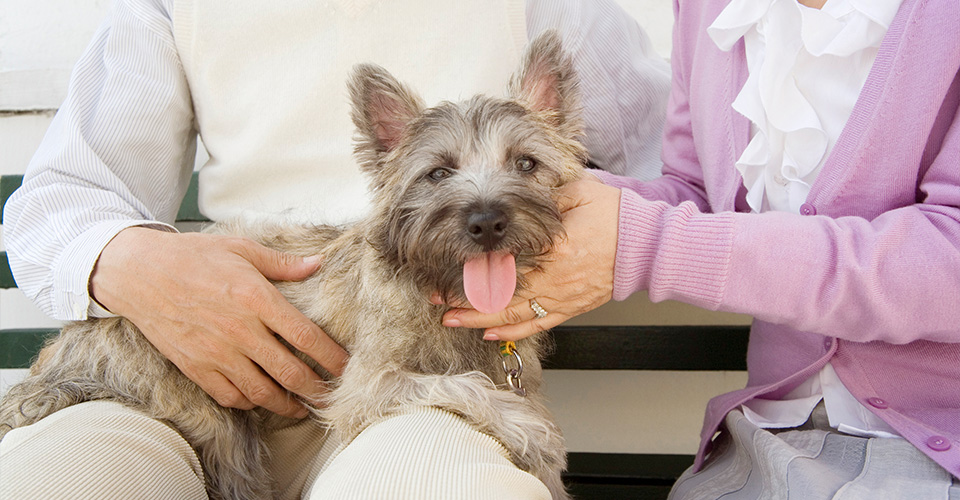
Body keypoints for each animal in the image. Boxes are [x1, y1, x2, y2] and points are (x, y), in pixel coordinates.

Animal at [0, 32, 584, 500]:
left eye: (526, 163)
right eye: (438, 173)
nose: (487, 222)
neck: (439, 291)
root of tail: (65, 347)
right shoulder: (371, 386)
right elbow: (465, 387)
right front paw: (537, 436)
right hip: (219, 428)